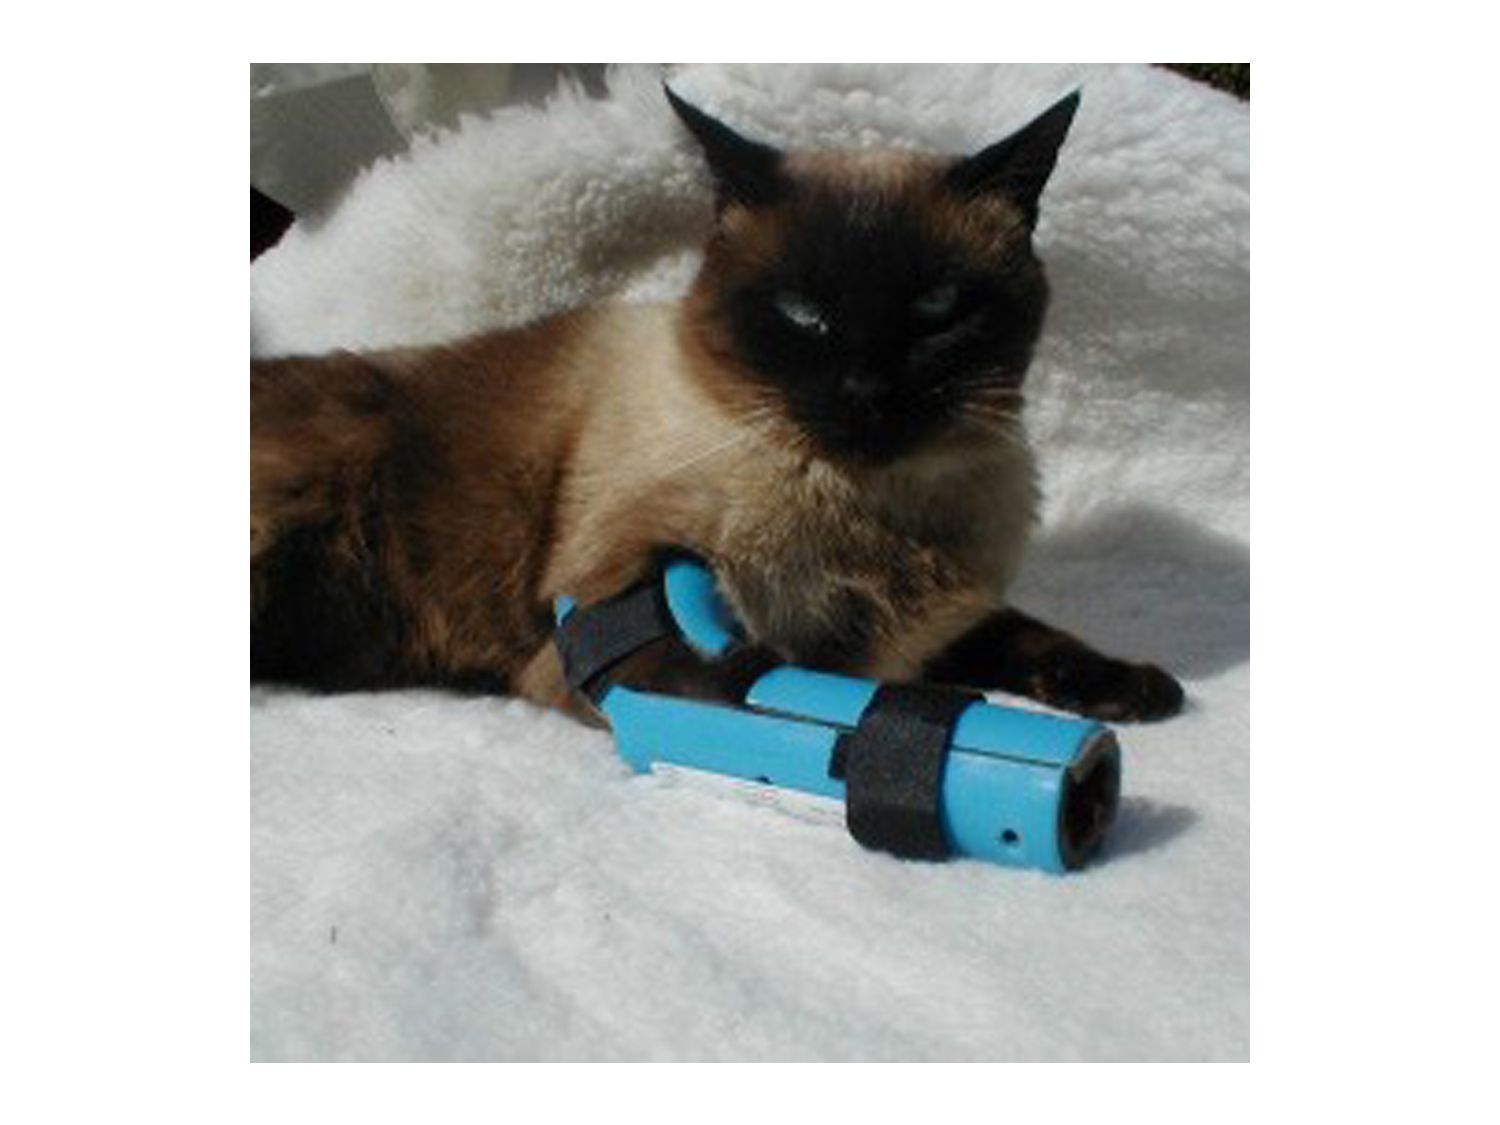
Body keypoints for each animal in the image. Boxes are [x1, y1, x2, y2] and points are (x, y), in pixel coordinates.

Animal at [251, 84, 1184, 724]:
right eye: (804, 313)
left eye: (937, 308)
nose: (866, 391)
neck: (871, 512)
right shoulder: (608, 607)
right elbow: (750, 678)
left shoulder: (938, 618)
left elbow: (1022, 632)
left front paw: (1136, 689)